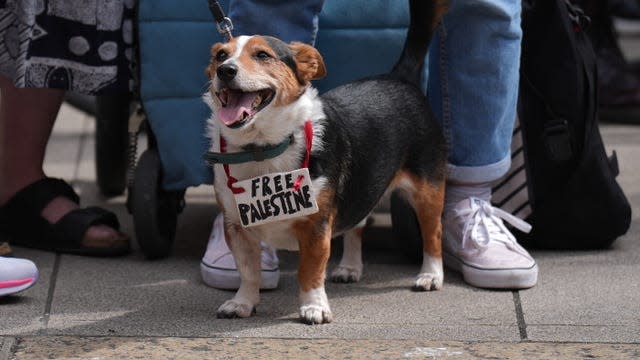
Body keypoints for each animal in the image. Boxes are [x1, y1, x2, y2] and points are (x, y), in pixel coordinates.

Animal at [202, 0, 448, 324]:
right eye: (220, 55)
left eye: (262, 55)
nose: (225, 70)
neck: (262, 149)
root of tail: (399, 76)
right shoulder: (237, 228)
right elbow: (248, 272)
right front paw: (242, 303)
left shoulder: (315, 225)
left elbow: (310, 270)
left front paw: (313, 307)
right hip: (363, 186)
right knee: (357, 224)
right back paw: (350, 267)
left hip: (428, 190)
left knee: (433, 233)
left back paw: (431, 275)